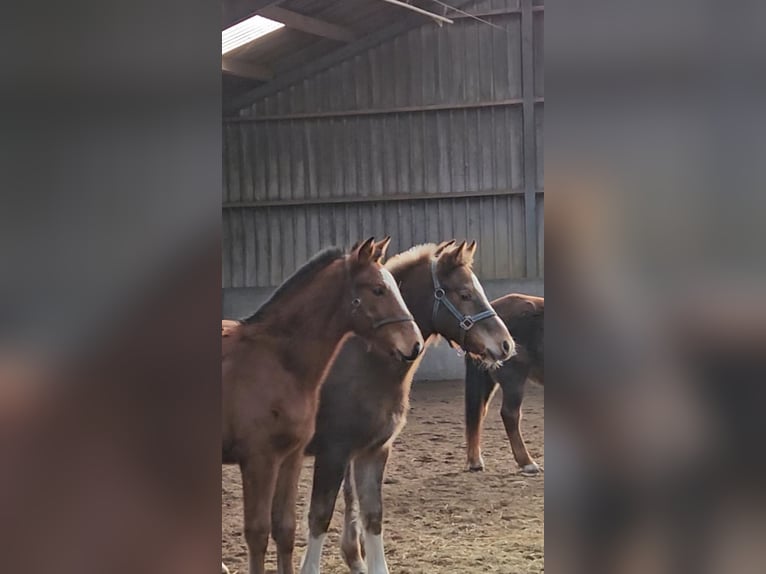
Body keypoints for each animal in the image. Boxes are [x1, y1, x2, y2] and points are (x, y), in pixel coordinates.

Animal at [222, 237, 426, 574]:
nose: (415, 344)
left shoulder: (290, 457)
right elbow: (258, 532)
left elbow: (285, 529)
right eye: (377, 289)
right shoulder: (259, 458)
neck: (279, 361)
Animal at [300, 241, 516, 572]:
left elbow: (366, 509)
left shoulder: (370, 448)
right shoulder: (333, 452)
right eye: (464, 293)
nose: (506, 344)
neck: (360, 363)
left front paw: (358, 558)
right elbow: (321, 514)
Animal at [462, 294, 544, 474]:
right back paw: (527, 463)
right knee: (510, 414)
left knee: (478, 414)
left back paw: (475, 461)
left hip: (487, 380)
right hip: (513, 379)